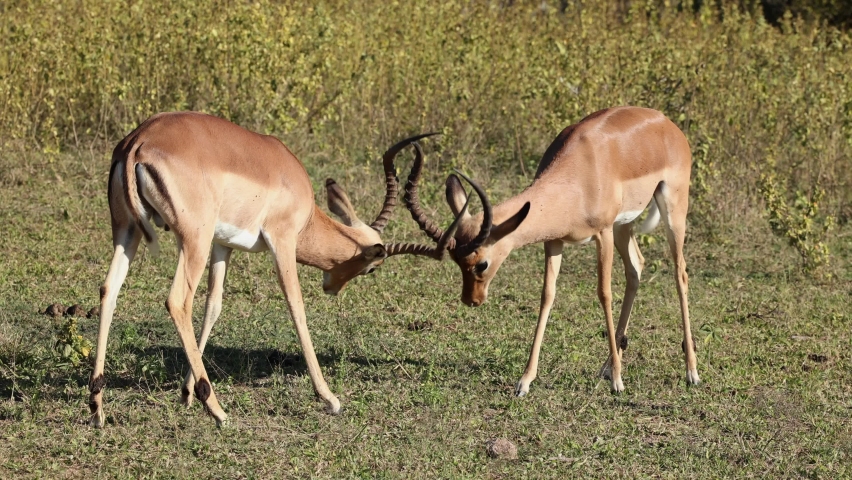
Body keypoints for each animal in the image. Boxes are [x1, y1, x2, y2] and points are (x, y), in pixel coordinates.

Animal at [89, 111, 444, 428]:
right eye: (371, 269)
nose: (332, 287)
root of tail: (139, 141)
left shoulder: (223, 245)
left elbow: (213, 306)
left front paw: (186, 393)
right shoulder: (282, 241)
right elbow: (296, 307)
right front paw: (329, 398)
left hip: (128, 231)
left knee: (109, 290)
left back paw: (97, 407)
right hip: (193, 240)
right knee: (177, 301)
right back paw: (217, 410)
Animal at [401, 106, 700, 396]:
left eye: (481, 263)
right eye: (456, 262)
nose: (471, 300)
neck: (580, 172)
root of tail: (666, 123)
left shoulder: (602, 233)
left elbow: (604, 293)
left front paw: (618, 382)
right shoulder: (554, 241)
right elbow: (547, 295)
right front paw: (524, 381)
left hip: (671, 210)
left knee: (680, 274)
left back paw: (691, 372)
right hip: (623, 225)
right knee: (636, 267)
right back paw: (607, 366)